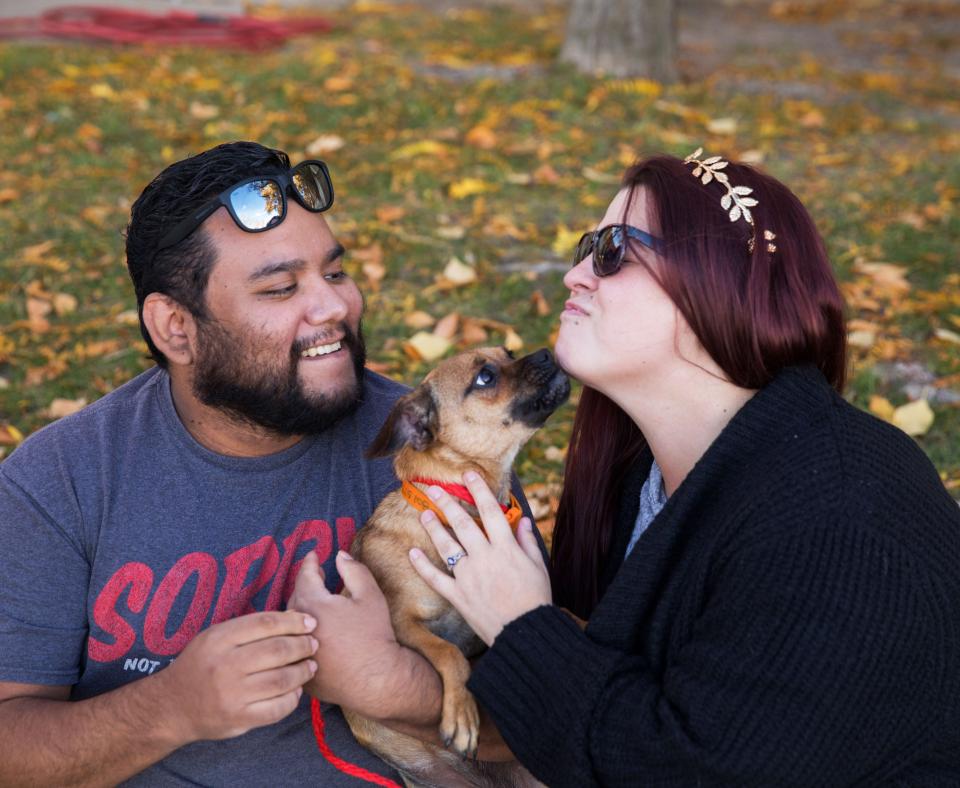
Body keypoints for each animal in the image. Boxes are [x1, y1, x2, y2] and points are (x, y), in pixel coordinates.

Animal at [344, 348, 568, 788]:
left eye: (509, 354)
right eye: (486, 377)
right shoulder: (401, 624)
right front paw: (462, 715)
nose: (545, 353)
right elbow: (449, 652)